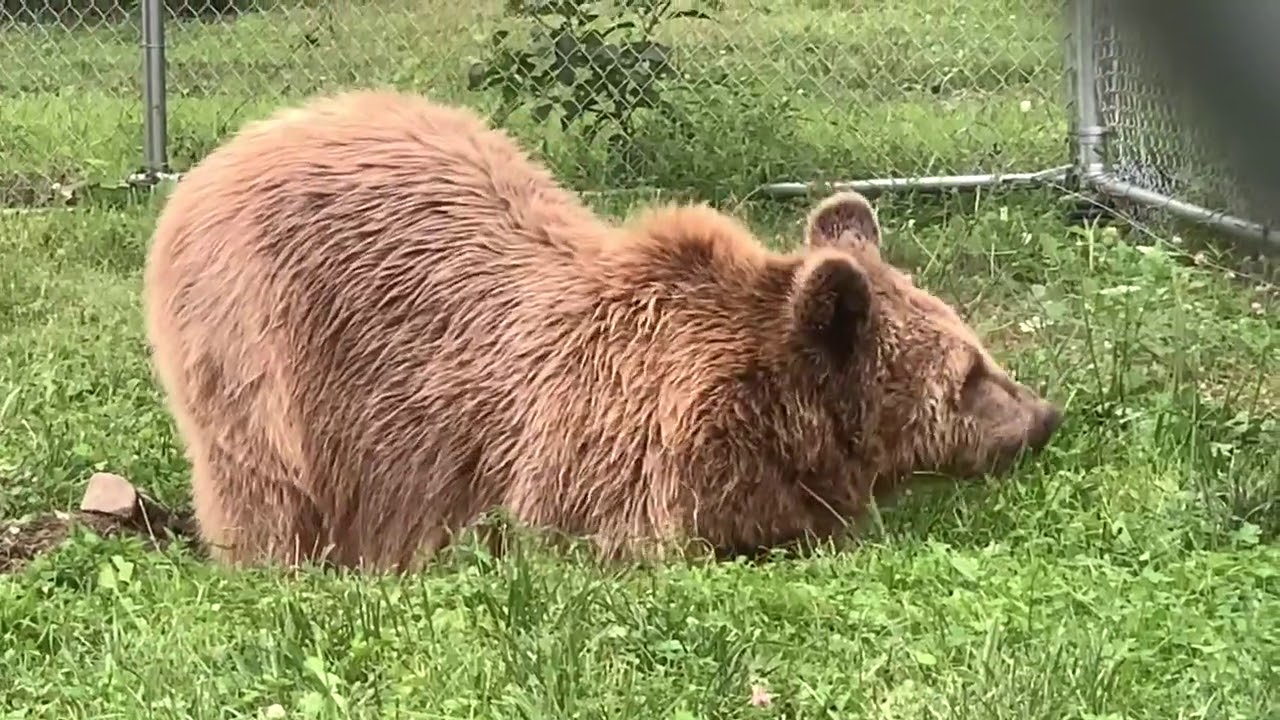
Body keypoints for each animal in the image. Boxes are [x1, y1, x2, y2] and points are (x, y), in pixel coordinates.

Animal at [140, 90, 1064, 571]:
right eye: (969, 372)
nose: (1046, 416)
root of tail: (225, 156)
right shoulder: (604, 464)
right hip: (265, 347)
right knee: (263, 479)